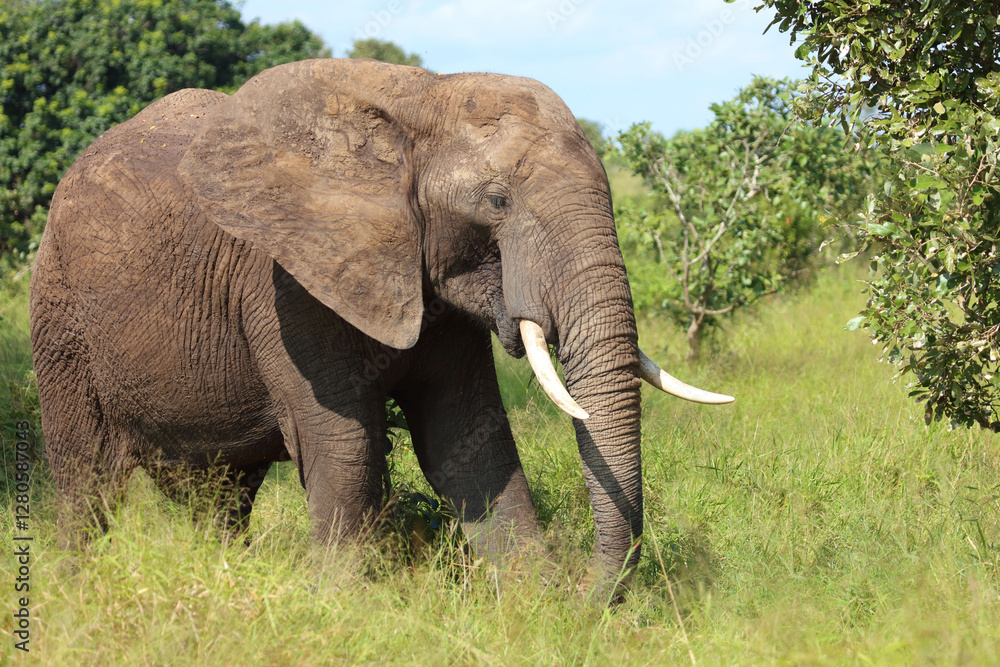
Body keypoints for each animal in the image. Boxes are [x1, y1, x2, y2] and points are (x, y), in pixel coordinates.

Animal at [29, 58, 733, 596]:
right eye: (497, 201)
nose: (591, 595)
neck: (422, 101)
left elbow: (467, 438)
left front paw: (537, 600)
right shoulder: (286, 282)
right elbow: (344, 446)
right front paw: (337, 606)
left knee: (219, 495)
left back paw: (218, 578)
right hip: (59, 312)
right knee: (85, 479)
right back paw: (78, 593)